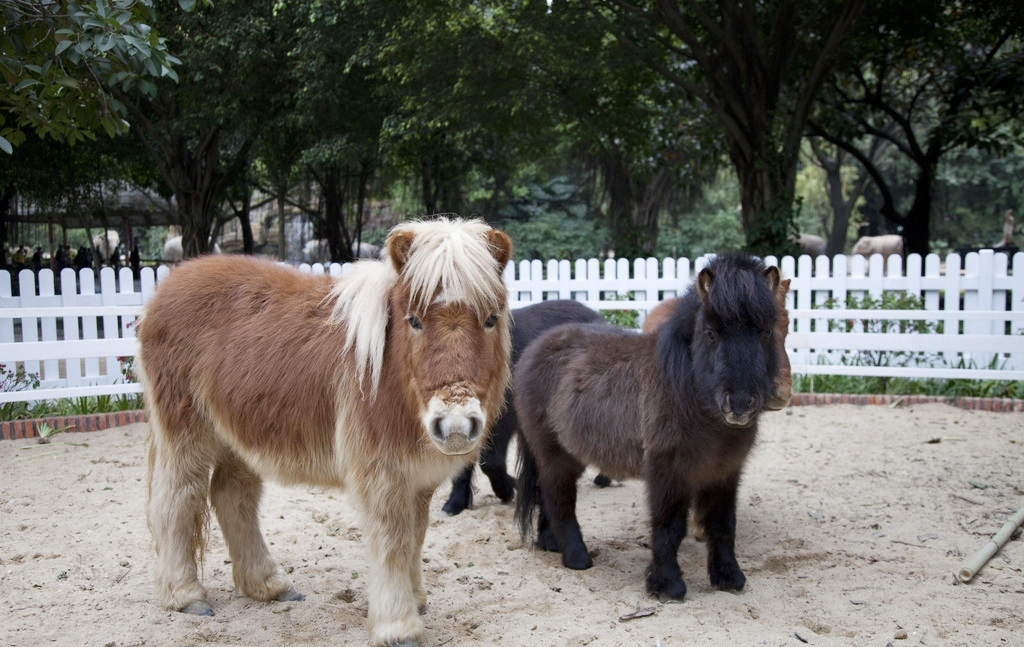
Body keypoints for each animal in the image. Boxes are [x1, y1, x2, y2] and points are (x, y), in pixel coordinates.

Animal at [138, 219, 512, 647]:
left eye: (491, 319)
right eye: (414, 320)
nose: (454, 426)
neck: (390, 374)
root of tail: (167, 287)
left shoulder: (417, 480)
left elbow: (415, 537)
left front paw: (416, 601)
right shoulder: (382, 475)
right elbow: (393, 542)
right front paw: (397, 626)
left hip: (239, 434)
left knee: (233, 497)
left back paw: (268, 585)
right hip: (186, 433)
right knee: (176, 500)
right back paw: (185, 595)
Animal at [516, 252, 778, 601]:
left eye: (766, 332)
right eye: (711, 333)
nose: (739, 404)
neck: (690, 392)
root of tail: (535, 348)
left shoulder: (724, 472)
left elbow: (723, 524)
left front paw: (729, 577)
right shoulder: (668, 471)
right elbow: (669, 526)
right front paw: (667, 584)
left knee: (547, 495)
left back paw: (550, 544)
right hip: (554, 453)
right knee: (559, 498)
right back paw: (576, 557)